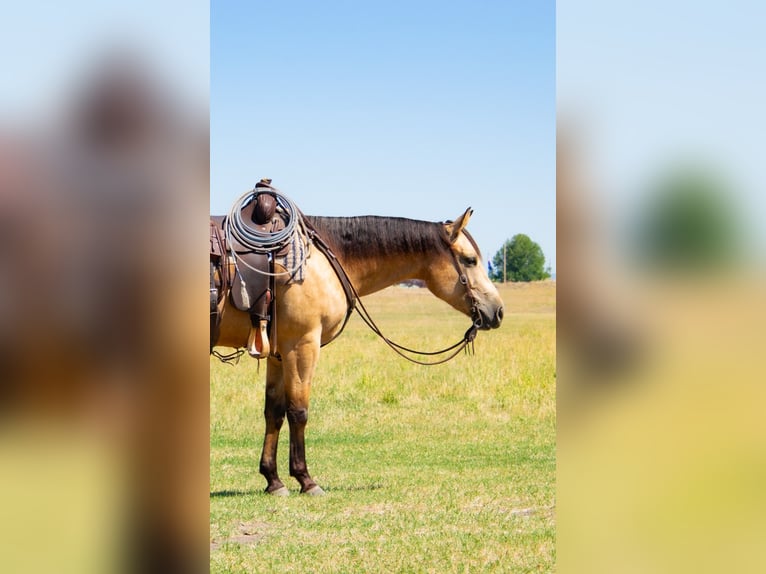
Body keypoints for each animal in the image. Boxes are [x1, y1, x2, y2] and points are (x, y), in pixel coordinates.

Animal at [212, 206, 504, 495]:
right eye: (469, 260)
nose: (498, 310)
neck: (319, 260)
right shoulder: (302, 345)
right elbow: (298, 411)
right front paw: (306, 479)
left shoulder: (278, 353)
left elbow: (274, 413)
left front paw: (273, 480)